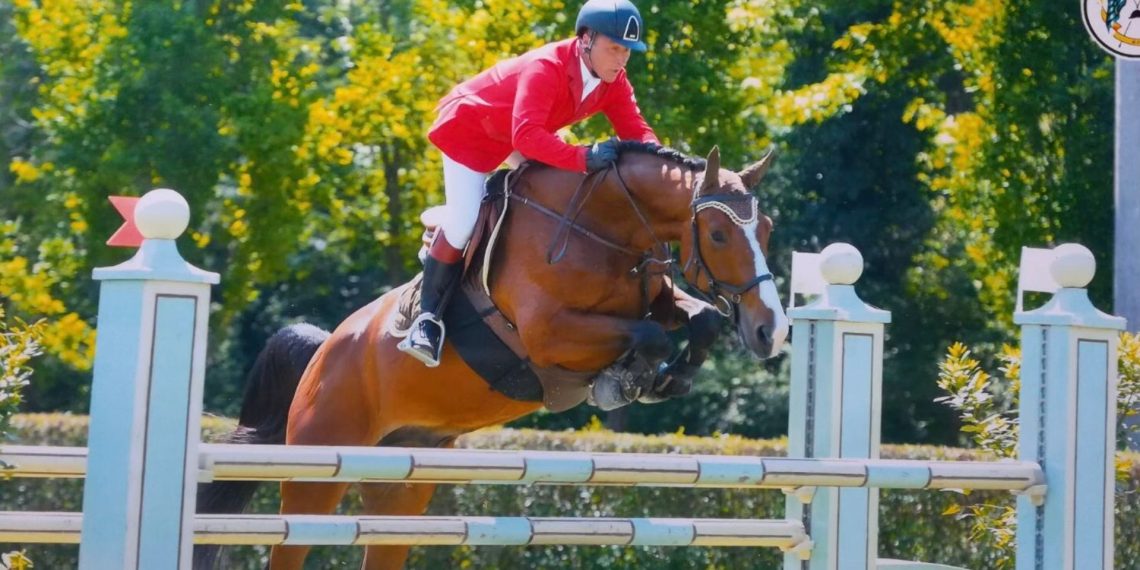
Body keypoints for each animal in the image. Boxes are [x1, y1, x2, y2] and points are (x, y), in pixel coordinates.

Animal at [194, 143, 789, 570]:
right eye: (718, 233)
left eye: (765, 229)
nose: (772, 331)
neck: (601, 228)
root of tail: (324, 351)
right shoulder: (550, 334)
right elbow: (650, 336)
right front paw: (625, 379)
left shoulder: (656, 296)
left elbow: (697, 319)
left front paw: (671, 378)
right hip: (318, 469)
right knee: (291, 545)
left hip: (400, 484)